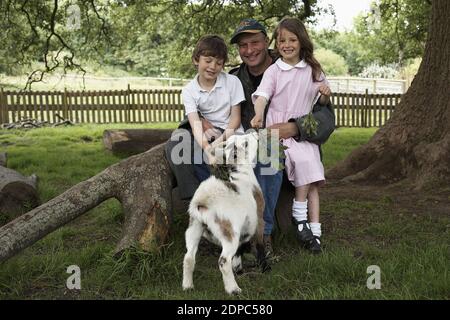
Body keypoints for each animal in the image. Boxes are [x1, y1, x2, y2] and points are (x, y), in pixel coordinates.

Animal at [182, 132, 268, 296]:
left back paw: (188, 286)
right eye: (246, 143)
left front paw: (239, 269)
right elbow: (259, 244)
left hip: (194, 228)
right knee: (223, 261)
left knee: (189, 257)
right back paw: (233, 289)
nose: (254, 132)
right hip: (228, 233)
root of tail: (203, 202)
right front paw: (266, 268)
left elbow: (241, 248)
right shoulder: (258, 220)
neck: (243, 176)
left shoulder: (244, 225)